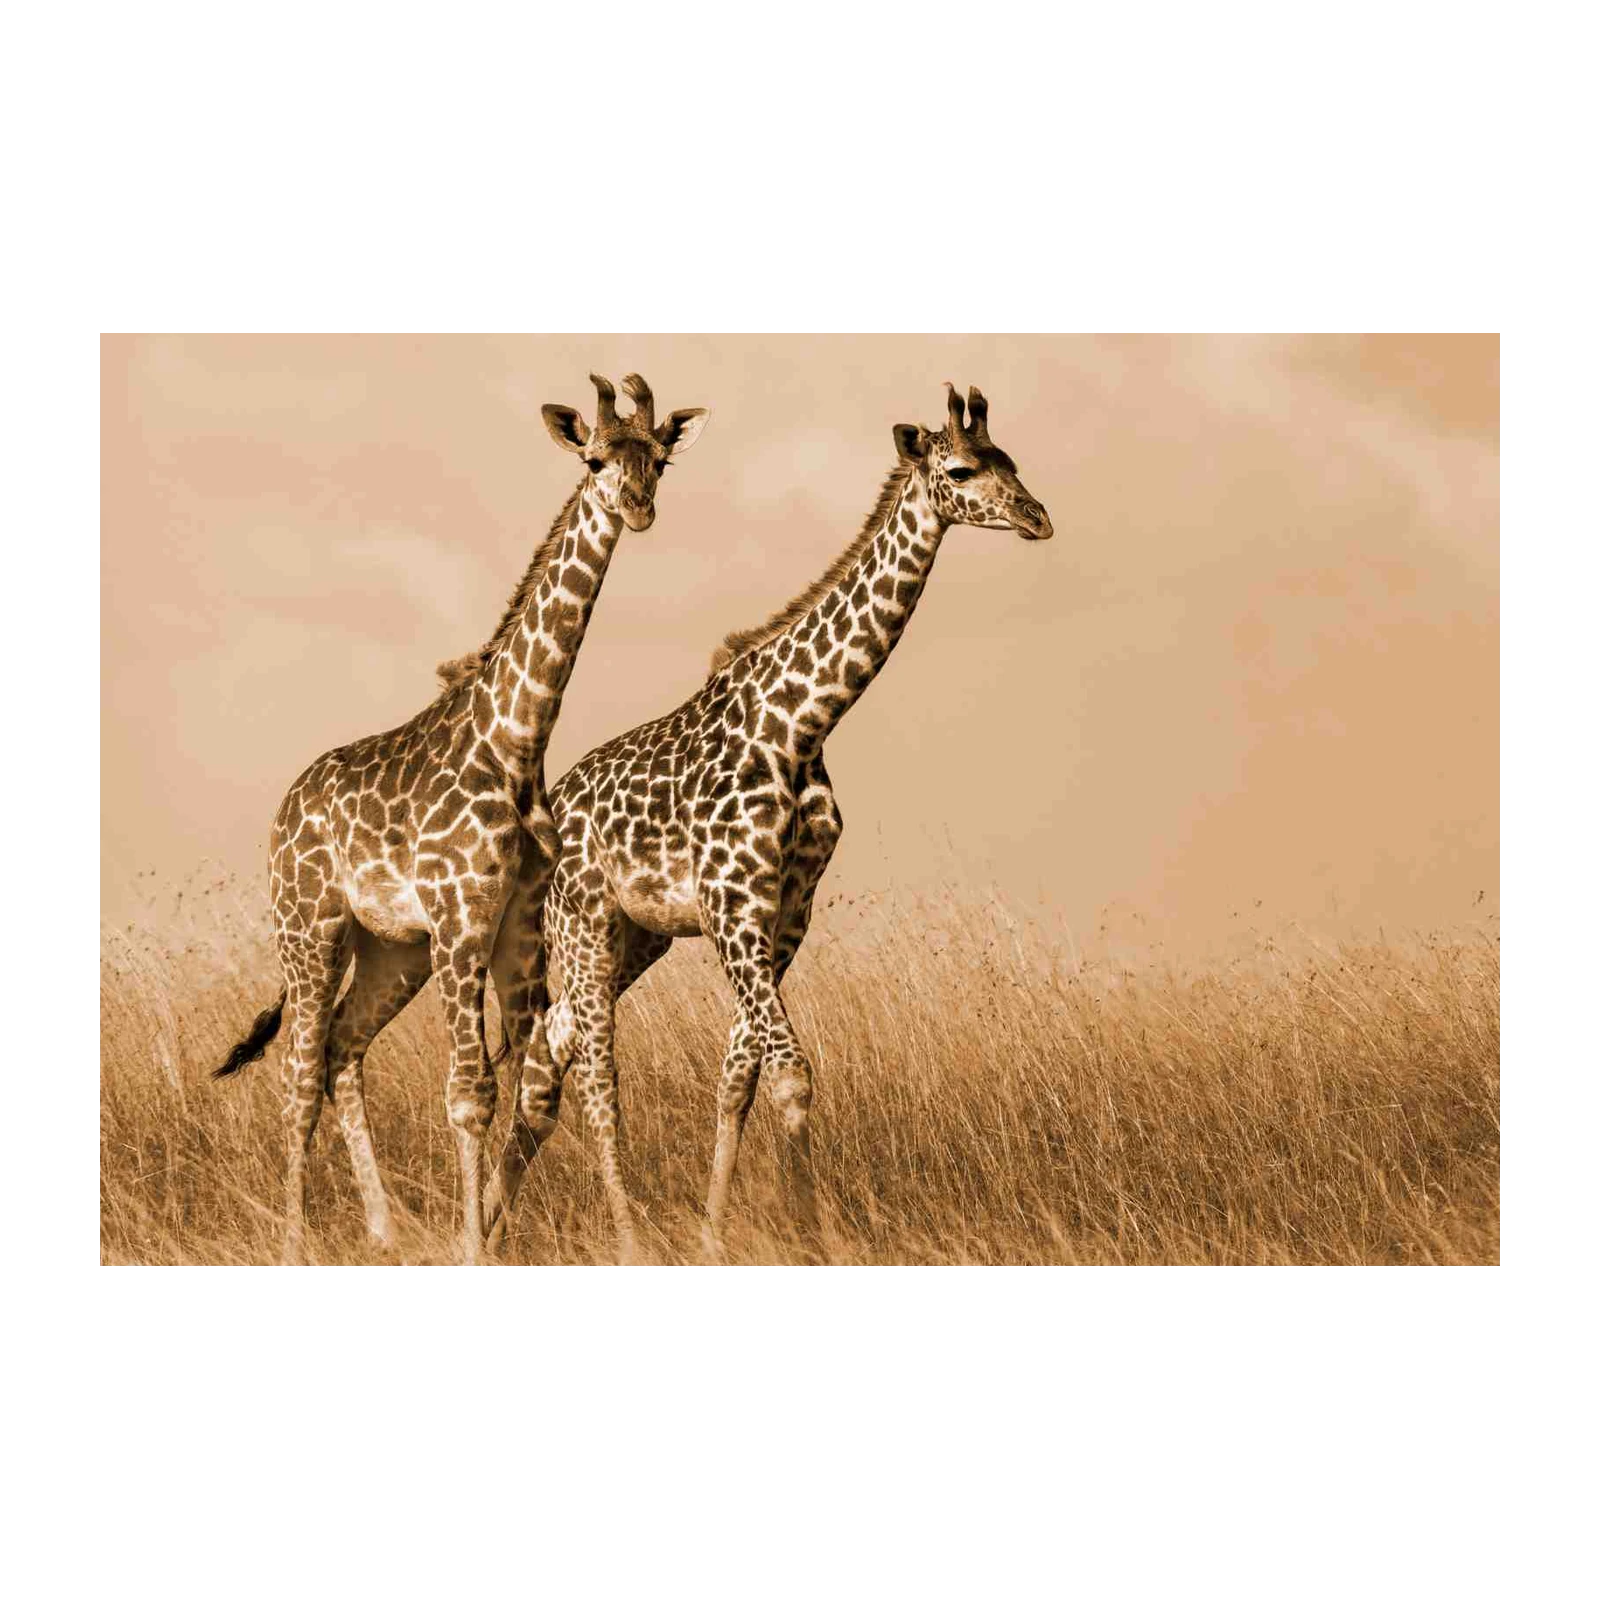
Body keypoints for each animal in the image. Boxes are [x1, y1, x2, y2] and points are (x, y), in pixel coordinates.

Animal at [212, 372, 710, 1266]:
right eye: (593, 458)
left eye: (657, 460)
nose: (638, 507)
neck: (515, 740)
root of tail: (286, 806)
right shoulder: (462, 919)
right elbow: (469, 1091)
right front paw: (471, 1243)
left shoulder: (515, 929)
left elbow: (525, 1084)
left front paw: (486, 1232)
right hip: (310, 926)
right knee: (298, 1071)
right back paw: (295, 1239)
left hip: (391, 949)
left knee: (342, 1048)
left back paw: (382, 1228)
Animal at [480, 382, 1053, 1257]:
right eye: (961, 468)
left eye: (1011, 460)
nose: (1037, 517)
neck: (802, 723)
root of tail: (549, 814)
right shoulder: (733, 905)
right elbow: (791, 1073)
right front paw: (810, 1238)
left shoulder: (787, 910)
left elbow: (739, 1076)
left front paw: (715, 1237)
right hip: (583, 925)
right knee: (592, 1073)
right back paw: (615, 1238)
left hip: (634, 937)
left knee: (550, 1056)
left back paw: (491, 1227)